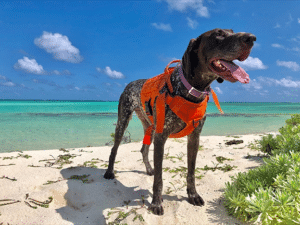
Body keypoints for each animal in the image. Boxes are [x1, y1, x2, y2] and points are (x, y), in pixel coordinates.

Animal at [103, 28, 255, 214]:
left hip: (149, 127)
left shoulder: (194, 138)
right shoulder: (161, 138)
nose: (251, 38)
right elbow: (159, 179)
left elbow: (191, 172)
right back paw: (110, 172)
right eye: (218, 34)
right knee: (114, 149)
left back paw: (149, 169)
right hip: (123, 121)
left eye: (232, 31)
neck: (191, 89)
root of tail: (130, 83)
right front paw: (156, 202)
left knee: (143, 149)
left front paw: (193, 195)